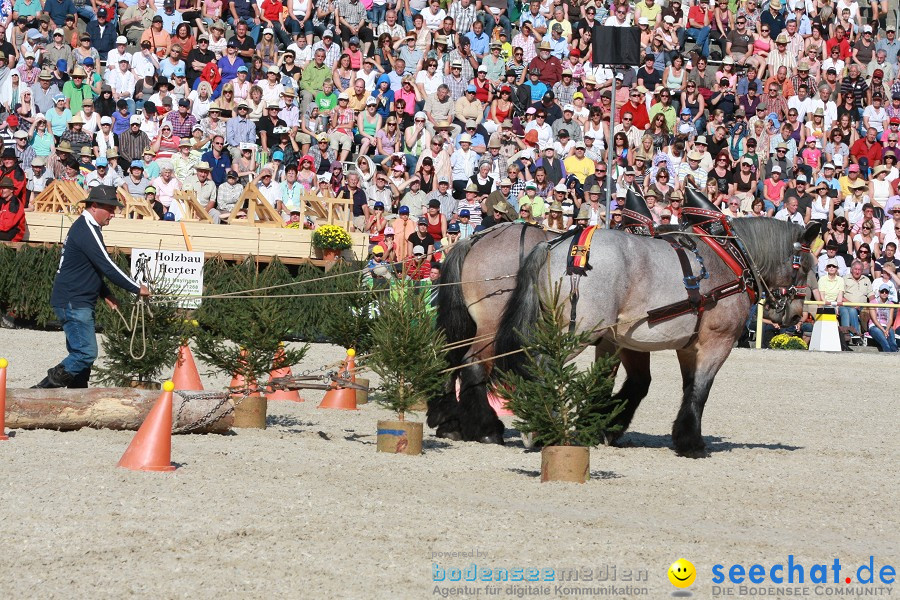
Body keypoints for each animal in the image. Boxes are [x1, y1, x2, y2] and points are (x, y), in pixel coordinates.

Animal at [428, 223, 548, 442]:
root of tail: (474, 241)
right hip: (490, 328)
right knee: (473, 364)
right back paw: (487, 430)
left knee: (450, 359)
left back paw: (449, 424)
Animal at [496, 218, 820, 458]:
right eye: (806, 266)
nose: (797, 315)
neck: (729, 258)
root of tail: (556, 245)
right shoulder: (717, 342)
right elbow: (700, 391)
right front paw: (692, 443)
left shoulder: (664, 345)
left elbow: (671, 387)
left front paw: (609, 426)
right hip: (575, 332)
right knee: (541, 366)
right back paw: (540, 427)